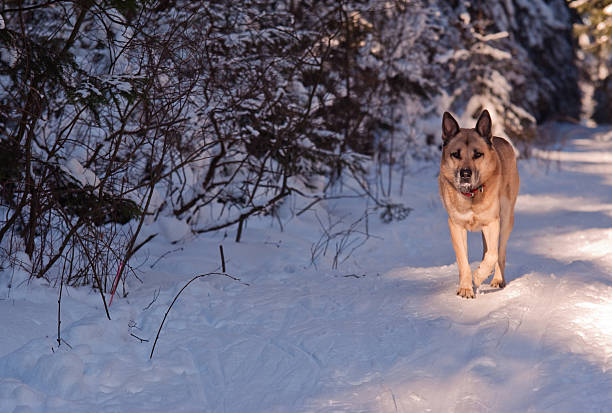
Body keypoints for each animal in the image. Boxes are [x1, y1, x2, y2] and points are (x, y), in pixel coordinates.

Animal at [438, 108, 520, 296]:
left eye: (477, 154)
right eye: (455, 154)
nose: (465, 174)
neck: (471, 194)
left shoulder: (492, 222)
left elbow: (493, 254)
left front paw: (478, 276)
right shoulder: (456, 226)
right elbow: (463, 260)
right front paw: (466, 287)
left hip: (506, 218)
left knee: (499, 252)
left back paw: (497, 279)